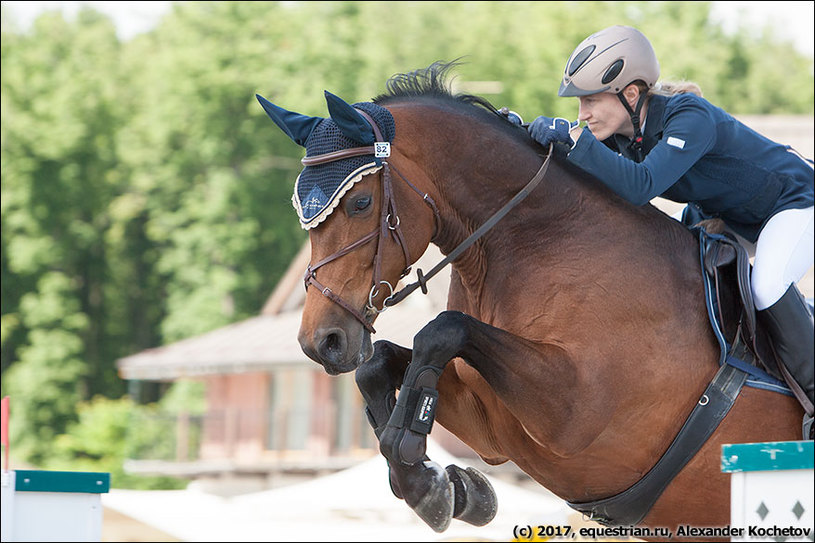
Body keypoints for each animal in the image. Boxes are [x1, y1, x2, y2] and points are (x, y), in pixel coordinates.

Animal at [260, 61, 804, 540]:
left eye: (359, 203)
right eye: (300, 208)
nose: (322, 342)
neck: (536, 242)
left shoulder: (573, 414)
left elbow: (442, 329)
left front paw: (430, 482)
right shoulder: (491, 426)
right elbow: (380, 366)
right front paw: (442, 486)